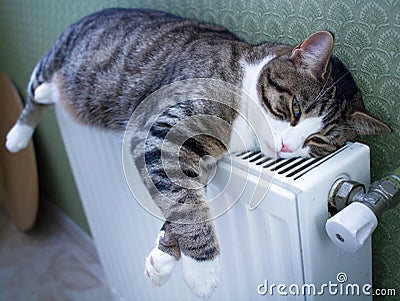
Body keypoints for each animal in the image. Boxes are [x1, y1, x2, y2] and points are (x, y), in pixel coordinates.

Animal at [4, 7, 390, 298]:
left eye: (319, 141)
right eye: (294, 108)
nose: (287, 147)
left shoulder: (198, 156)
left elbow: (181, 200)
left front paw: (162, 258)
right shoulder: (162, 129)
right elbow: (186, 204)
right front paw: (202, 271)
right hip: (60, 56)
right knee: (36, 85)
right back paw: (19, 133)